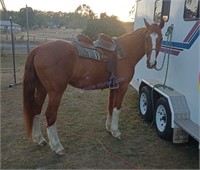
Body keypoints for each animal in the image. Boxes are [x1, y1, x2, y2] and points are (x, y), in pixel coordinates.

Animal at [23, 18, 164, 155]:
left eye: (161, 38)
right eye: (146, 37)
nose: (152, 63)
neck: (124, 53)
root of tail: (39, 49)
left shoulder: (113, 87)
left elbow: (110, 107)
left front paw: (109, 128)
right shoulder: (122, 87)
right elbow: (117, 108)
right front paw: (115, 131)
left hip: (42, 88)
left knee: (36, 109)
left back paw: (39, 139)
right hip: (55, 92)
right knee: (50, 114)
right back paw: (57, 146)